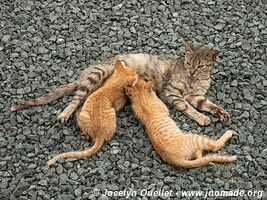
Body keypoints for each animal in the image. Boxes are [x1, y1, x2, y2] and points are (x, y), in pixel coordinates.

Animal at [11, 41, 230, 126]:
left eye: (200, 66)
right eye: (188, 63)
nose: (191, 71)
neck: (198, 80)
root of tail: (86, 71)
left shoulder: (196, 96)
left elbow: (207, 103)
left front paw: (220, 112)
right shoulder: (172, 93)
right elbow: (188, 108)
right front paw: (201, 118)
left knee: (83, 104)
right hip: (96, 75)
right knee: (74, 100)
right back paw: (64, 114)